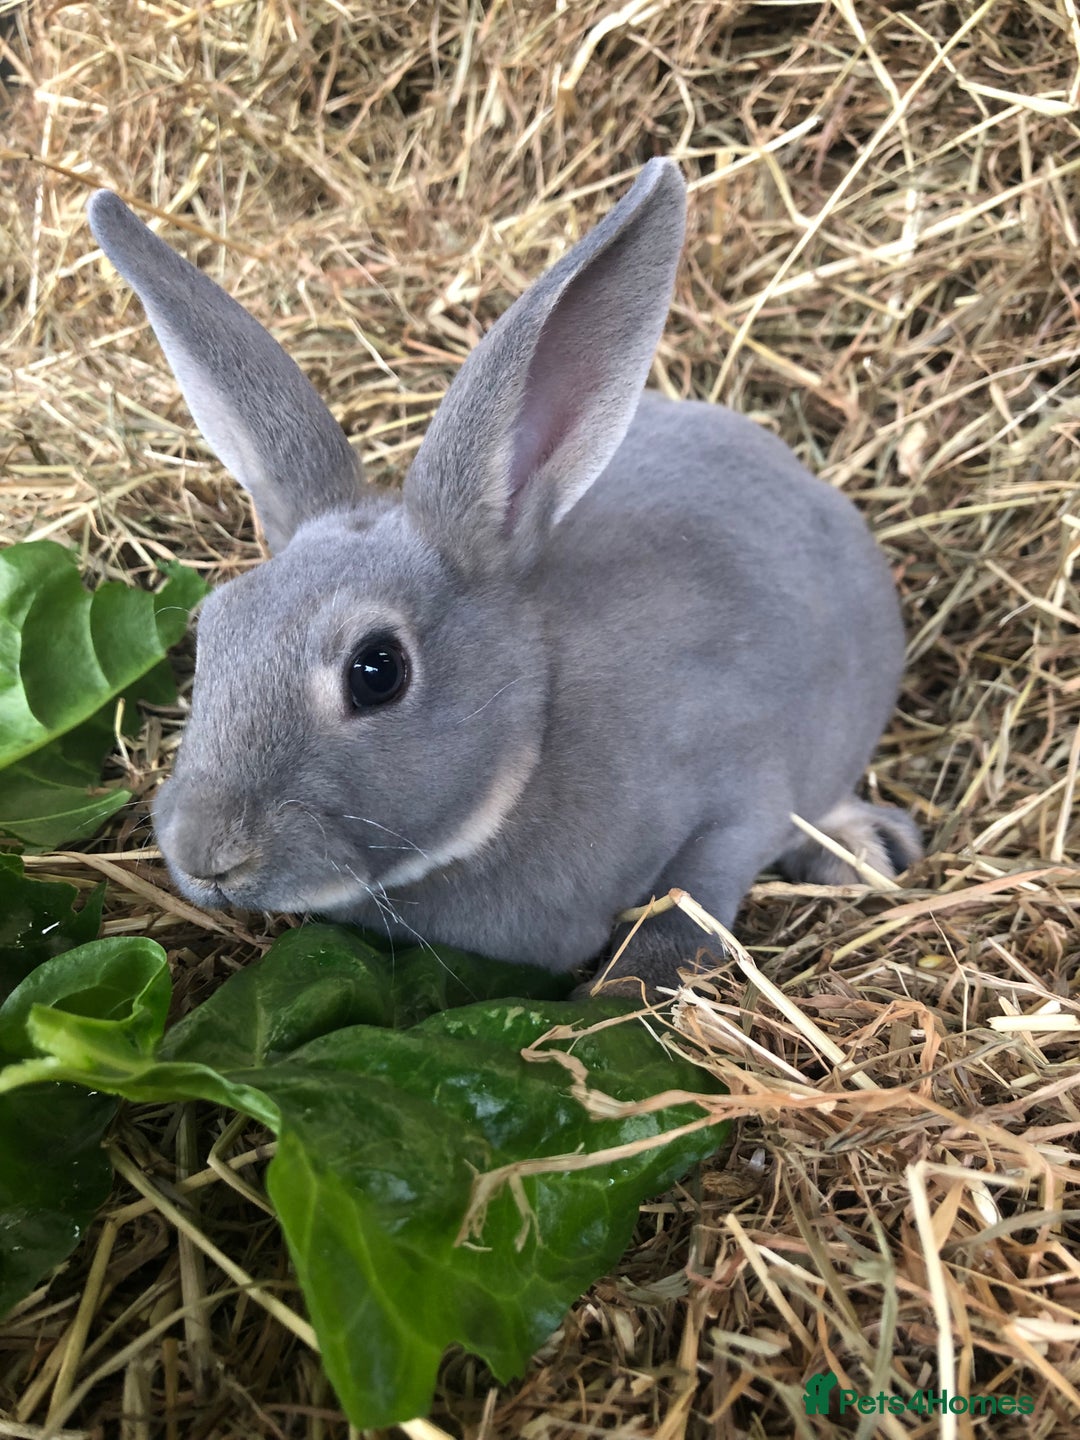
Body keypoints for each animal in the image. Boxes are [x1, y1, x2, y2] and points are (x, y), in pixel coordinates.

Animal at [86, 159, 921, 991]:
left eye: (377, 671)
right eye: (211, 632)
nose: (204, 852)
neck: (536, 731)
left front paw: (616, 994)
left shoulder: (739, 801)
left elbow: (688, 909)